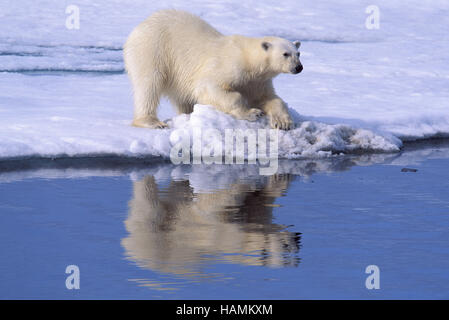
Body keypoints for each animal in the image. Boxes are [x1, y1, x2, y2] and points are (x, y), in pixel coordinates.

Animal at [122, 10, 300, 130]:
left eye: (298, 53)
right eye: (285, 54)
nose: (299, 67)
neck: (248, 59)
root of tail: (140, 26)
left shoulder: (257, 81)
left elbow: (268, 98)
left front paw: (283, 122)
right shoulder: (230, 66)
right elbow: (210, 87)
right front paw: (252, 113)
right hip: (152, 49)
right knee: (149, 84)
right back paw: (151, 122)